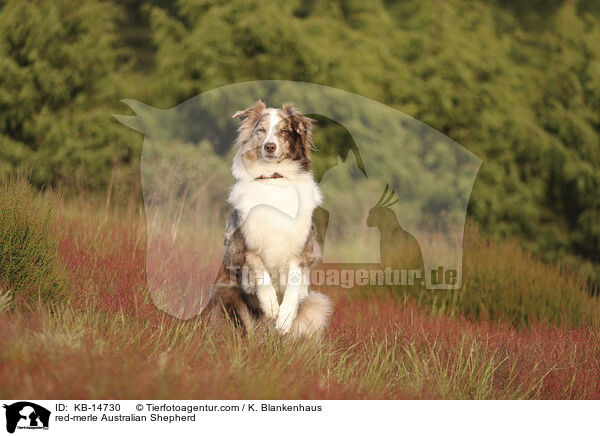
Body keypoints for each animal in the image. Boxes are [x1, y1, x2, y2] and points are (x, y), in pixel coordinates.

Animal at [203, 101, 332, 338]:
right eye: (261, 130)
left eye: (284, 131)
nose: (269, 147)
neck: (273, 178)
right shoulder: (240, 246)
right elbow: (258, 267)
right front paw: (271, 304)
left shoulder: (303, 250)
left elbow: (294, 284)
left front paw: (284, 317)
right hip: (224, 291)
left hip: (317, 304)